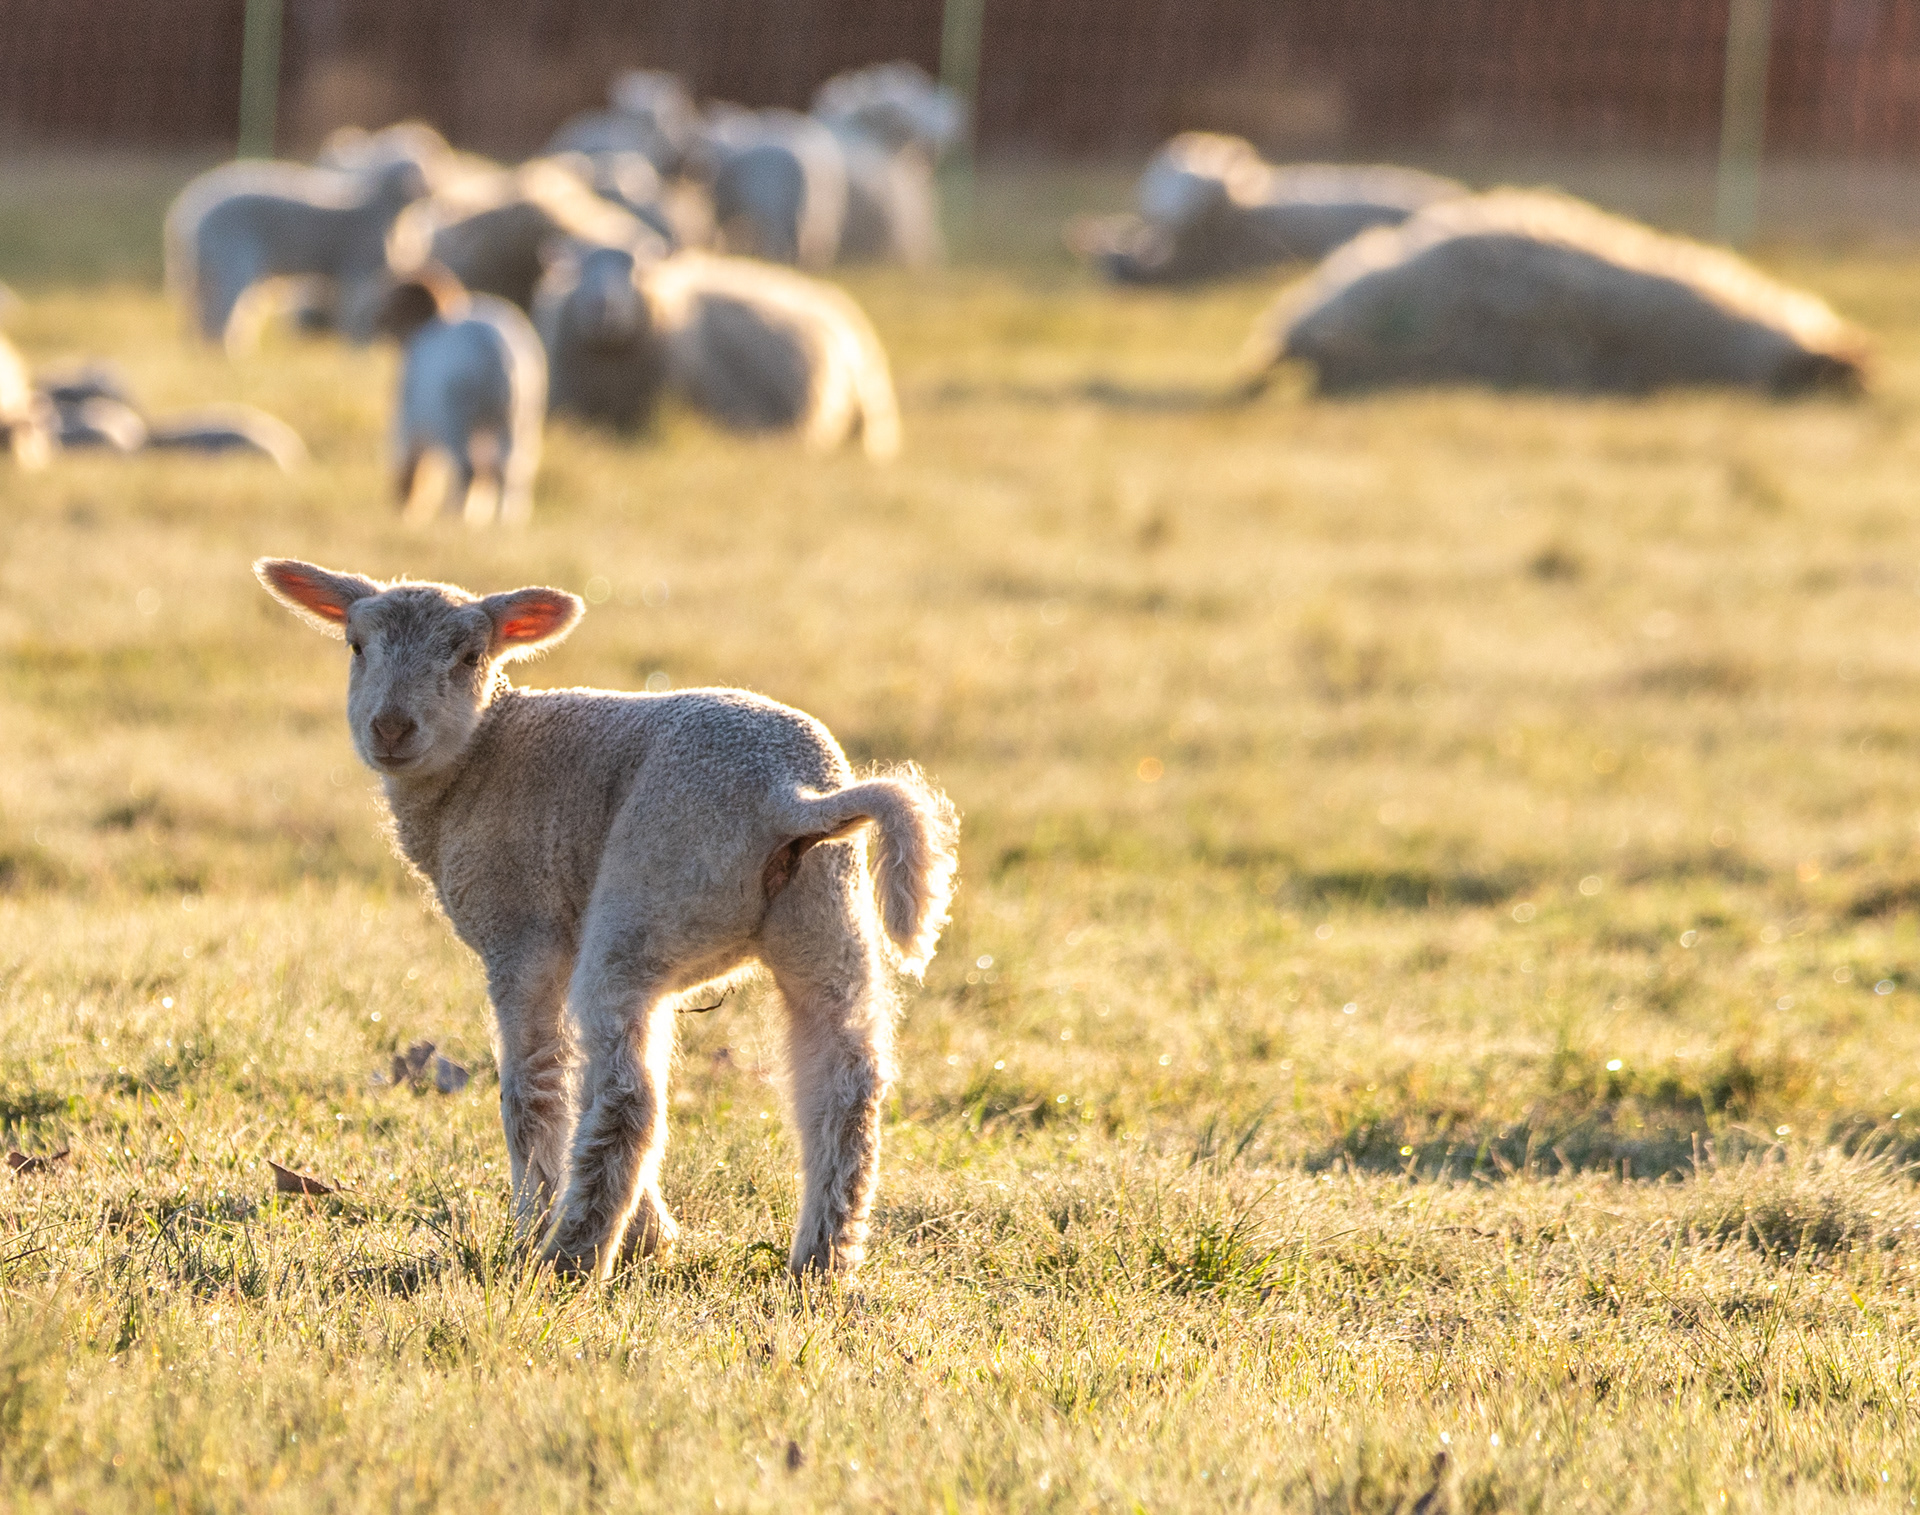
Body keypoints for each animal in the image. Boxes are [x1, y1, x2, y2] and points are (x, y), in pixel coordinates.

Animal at [165, 158, 430, 351]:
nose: (429, 190)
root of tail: (186, 216)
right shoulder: (357, 267)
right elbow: (356, 314)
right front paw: (357, 351)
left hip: (200, 270)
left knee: (197, 313)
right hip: (231, 259)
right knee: (216, 314)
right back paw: (223, 354)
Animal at [253, 557, 960, 1279]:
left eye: (471, 654)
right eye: (356, 646)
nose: (392, 729)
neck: (481, 759)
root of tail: (792, 798)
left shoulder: (522, 932)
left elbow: (533, 1086)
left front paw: (542, 1222)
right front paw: (652, 1233)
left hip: (642, 900)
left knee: (627, 1098)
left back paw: (570, 1254)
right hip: (825, 918)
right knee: (846, 1086)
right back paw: (822, 1261)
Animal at [379, 268, 547, 525]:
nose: (381, 321)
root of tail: (499, 352)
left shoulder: (410, 415)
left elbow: (413, 462)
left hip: (456, 418)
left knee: (467, 467)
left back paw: (455, 516)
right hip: (521, 418)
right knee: (513, 467)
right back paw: (508, 519)